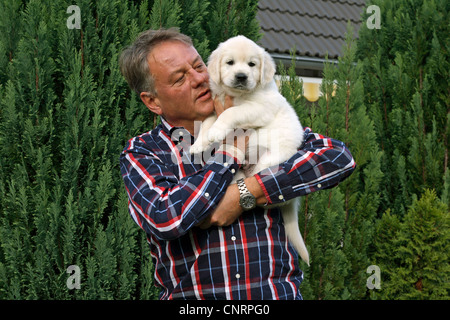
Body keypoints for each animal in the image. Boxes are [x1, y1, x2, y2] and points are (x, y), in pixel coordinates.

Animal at [190, 34, 310, 264]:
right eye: (230, 63)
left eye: (252, 65)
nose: (241, 76)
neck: (238, 94)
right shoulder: (215, 106)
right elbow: (208, 121)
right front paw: (198, 144)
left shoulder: (257, 108)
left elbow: (231, 113)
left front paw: (216, 133)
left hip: (268, 162)